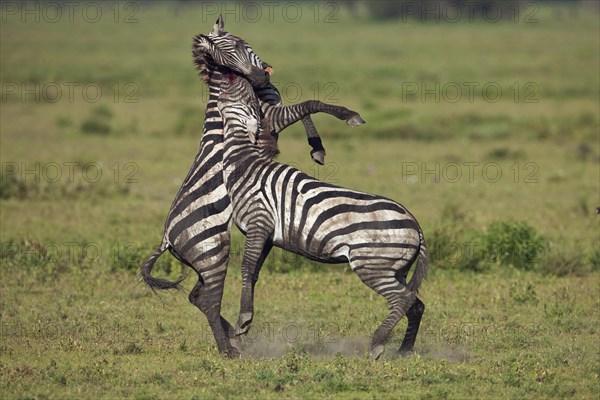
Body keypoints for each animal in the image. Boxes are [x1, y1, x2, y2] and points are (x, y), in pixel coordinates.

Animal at [141, 17, 366, 358]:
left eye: (238, 44)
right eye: (225, 57)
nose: (262, 76)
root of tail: (166, 237)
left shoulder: (273, 105)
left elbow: (305, 110)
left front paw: (317, 148)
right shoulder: (270, 116)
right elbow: (310, 103)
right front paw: (348, 117)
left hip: (202, 261)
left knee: (197, 296)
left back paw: (233, 337)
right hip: (212, 250)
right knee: (209, 300)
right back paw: (228, 348)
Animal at [197, 32, 432, 360]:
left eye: (239, 87)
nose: (257, 74)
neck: (245, 161)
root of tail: (416, 226)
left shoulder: (259, 222)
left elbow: (245, 267)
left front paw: (243, 321)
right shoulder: (267, 234)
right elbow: (252, 273)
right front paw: (244, 323)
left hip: (372, 264)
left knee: (404, 300)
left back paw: (377, 344)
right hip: (394, 268)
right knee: (416, 302)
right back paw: (403, 350)